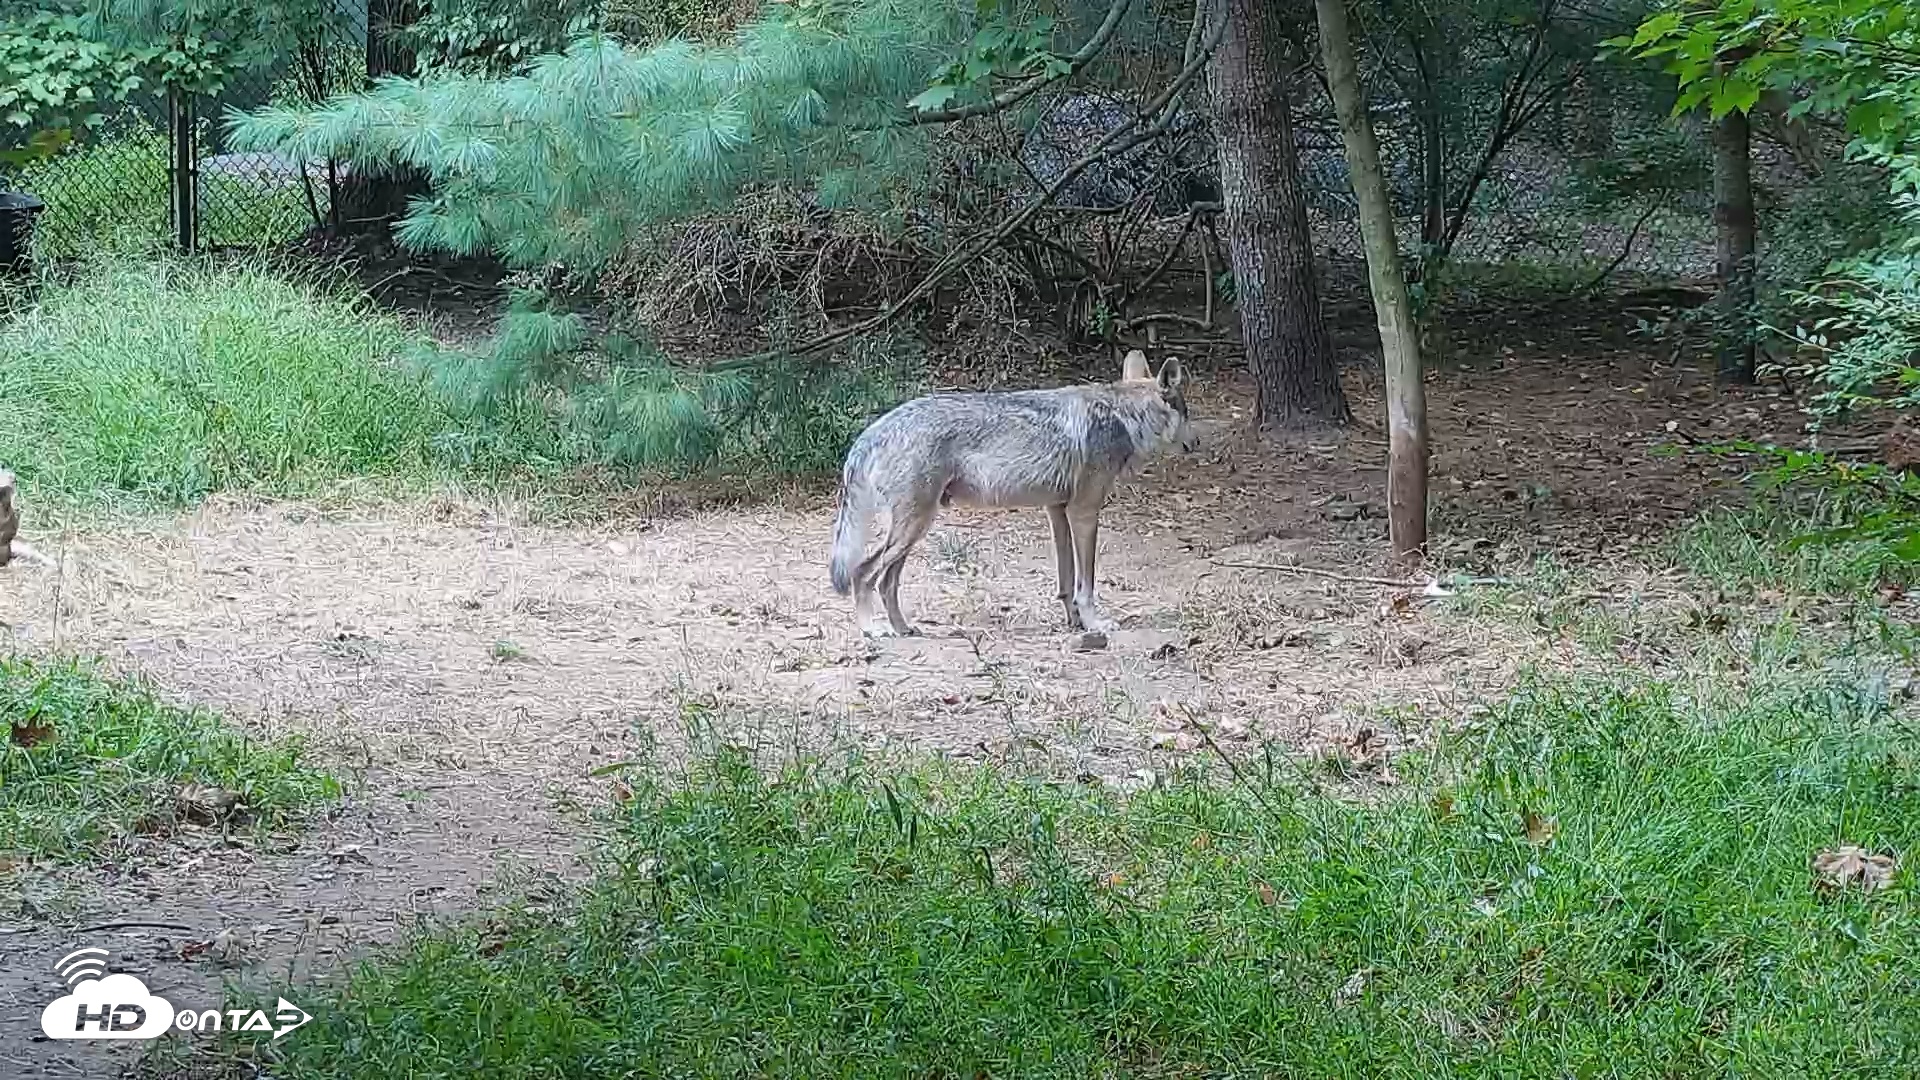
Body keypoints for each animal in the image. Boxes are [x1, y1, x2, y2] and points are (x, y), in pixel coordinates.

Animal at [829, 350, 1198, 637]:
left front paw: (1075, 624)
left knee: (886, 582)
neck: (1124, 416)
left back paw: (903, 628)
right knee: (862, 573)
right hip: (912, 528)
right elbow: (1087, 584)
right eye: (1187, 413)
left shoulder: (1057, 511)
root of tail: (871, 433)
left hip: (912, 532)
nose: (1196, 442)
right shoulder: (1084, 512)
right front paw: (1095, 624)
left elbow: (1066, 583)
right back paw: (872, 629)